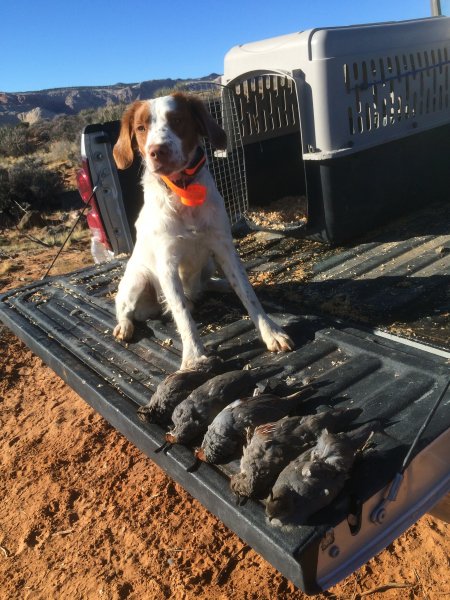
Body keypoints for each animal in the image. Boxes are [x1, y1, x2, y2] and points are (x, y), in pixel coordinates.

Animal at [113, 92, 292, 370]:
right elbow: (183, 316)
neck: (182, 192)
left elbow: (249, 295)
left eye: (177, 119)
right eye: (141, 128)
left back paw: (222, 285)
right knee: (123, 308)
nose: (157, 152)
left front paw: (270, 332)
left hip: (208, 263)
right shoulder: (167, 265)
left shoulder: (224, 248)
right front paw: (194, 357)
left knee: (207, 284)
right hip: (138, 280)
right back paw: (124, 325)